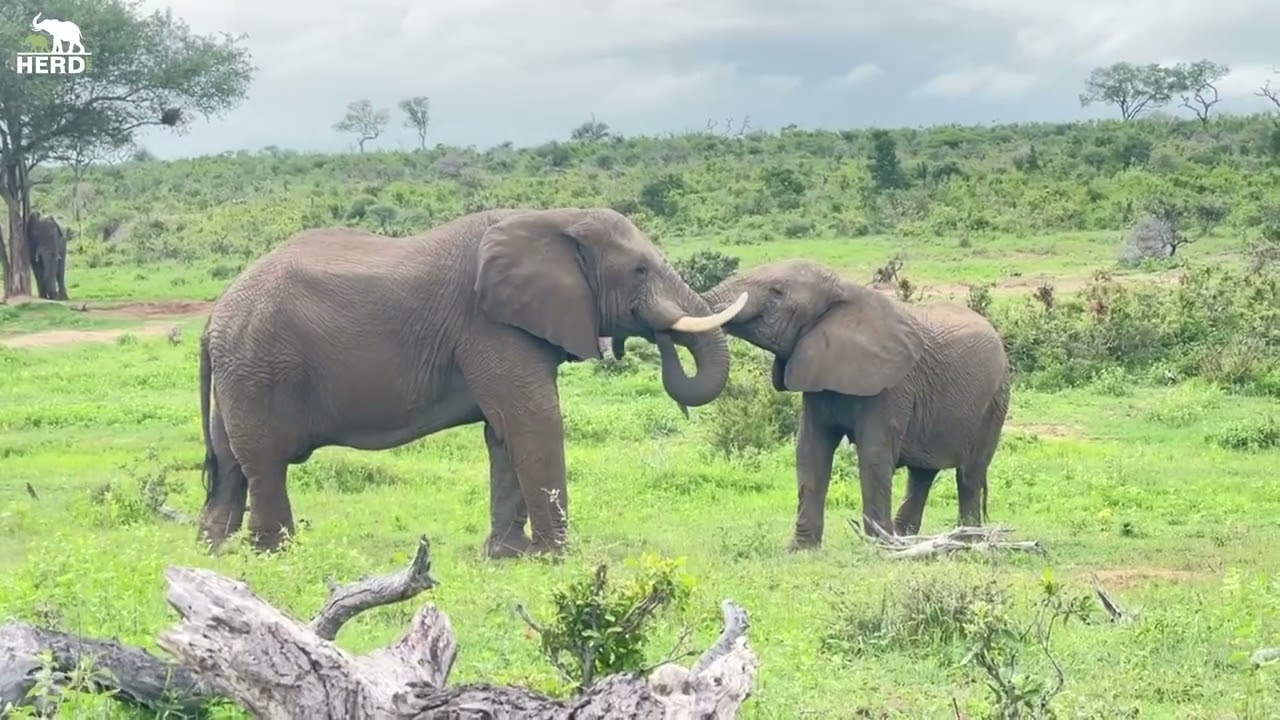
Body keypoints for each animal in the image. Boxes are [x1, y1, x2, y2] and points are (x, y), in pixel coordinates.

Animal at [196, 207, 749, 557]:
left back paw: (215, 552)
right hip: (258, 366)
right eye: (639, 270)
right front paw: (555, 558)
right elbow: (534, 423)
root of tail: (213, 318)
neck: (554, 217)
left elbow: (502, 434)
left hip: (240, 372)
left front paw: (507, 555)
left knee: (230, 464)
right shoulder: (489, 326)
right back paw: (276, 553)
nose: (658, 339)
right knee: (264, 461)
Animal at [700, 259, 1011, 549]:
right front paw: (801, 549)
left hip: (995, 402)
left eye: (776, 292)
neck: (844, 292)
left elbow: (874, 456)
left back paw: (964, 541)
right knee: (922, 474)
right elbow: (810, 452)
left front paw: (877, 548)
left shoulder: (891, 386)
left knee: (969, 476)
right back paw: (906, 539)